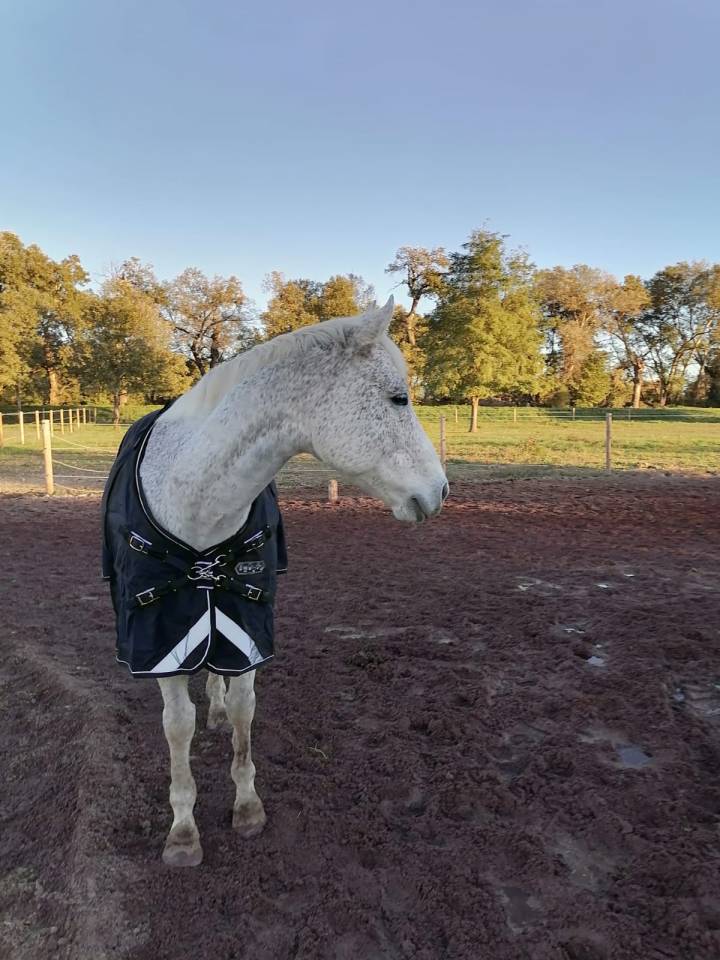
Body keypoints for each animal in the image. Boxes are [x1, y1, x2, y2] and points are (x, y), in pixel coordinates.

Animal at [104, 297, 448, 867]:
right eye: (398, 397)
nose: (441, 490)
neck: (194, 497)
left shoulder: (247, 627)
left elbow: (245, 712)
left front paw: (247, 807)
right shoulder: (159, 642)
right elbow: (178, 727)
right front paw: (183, 832)